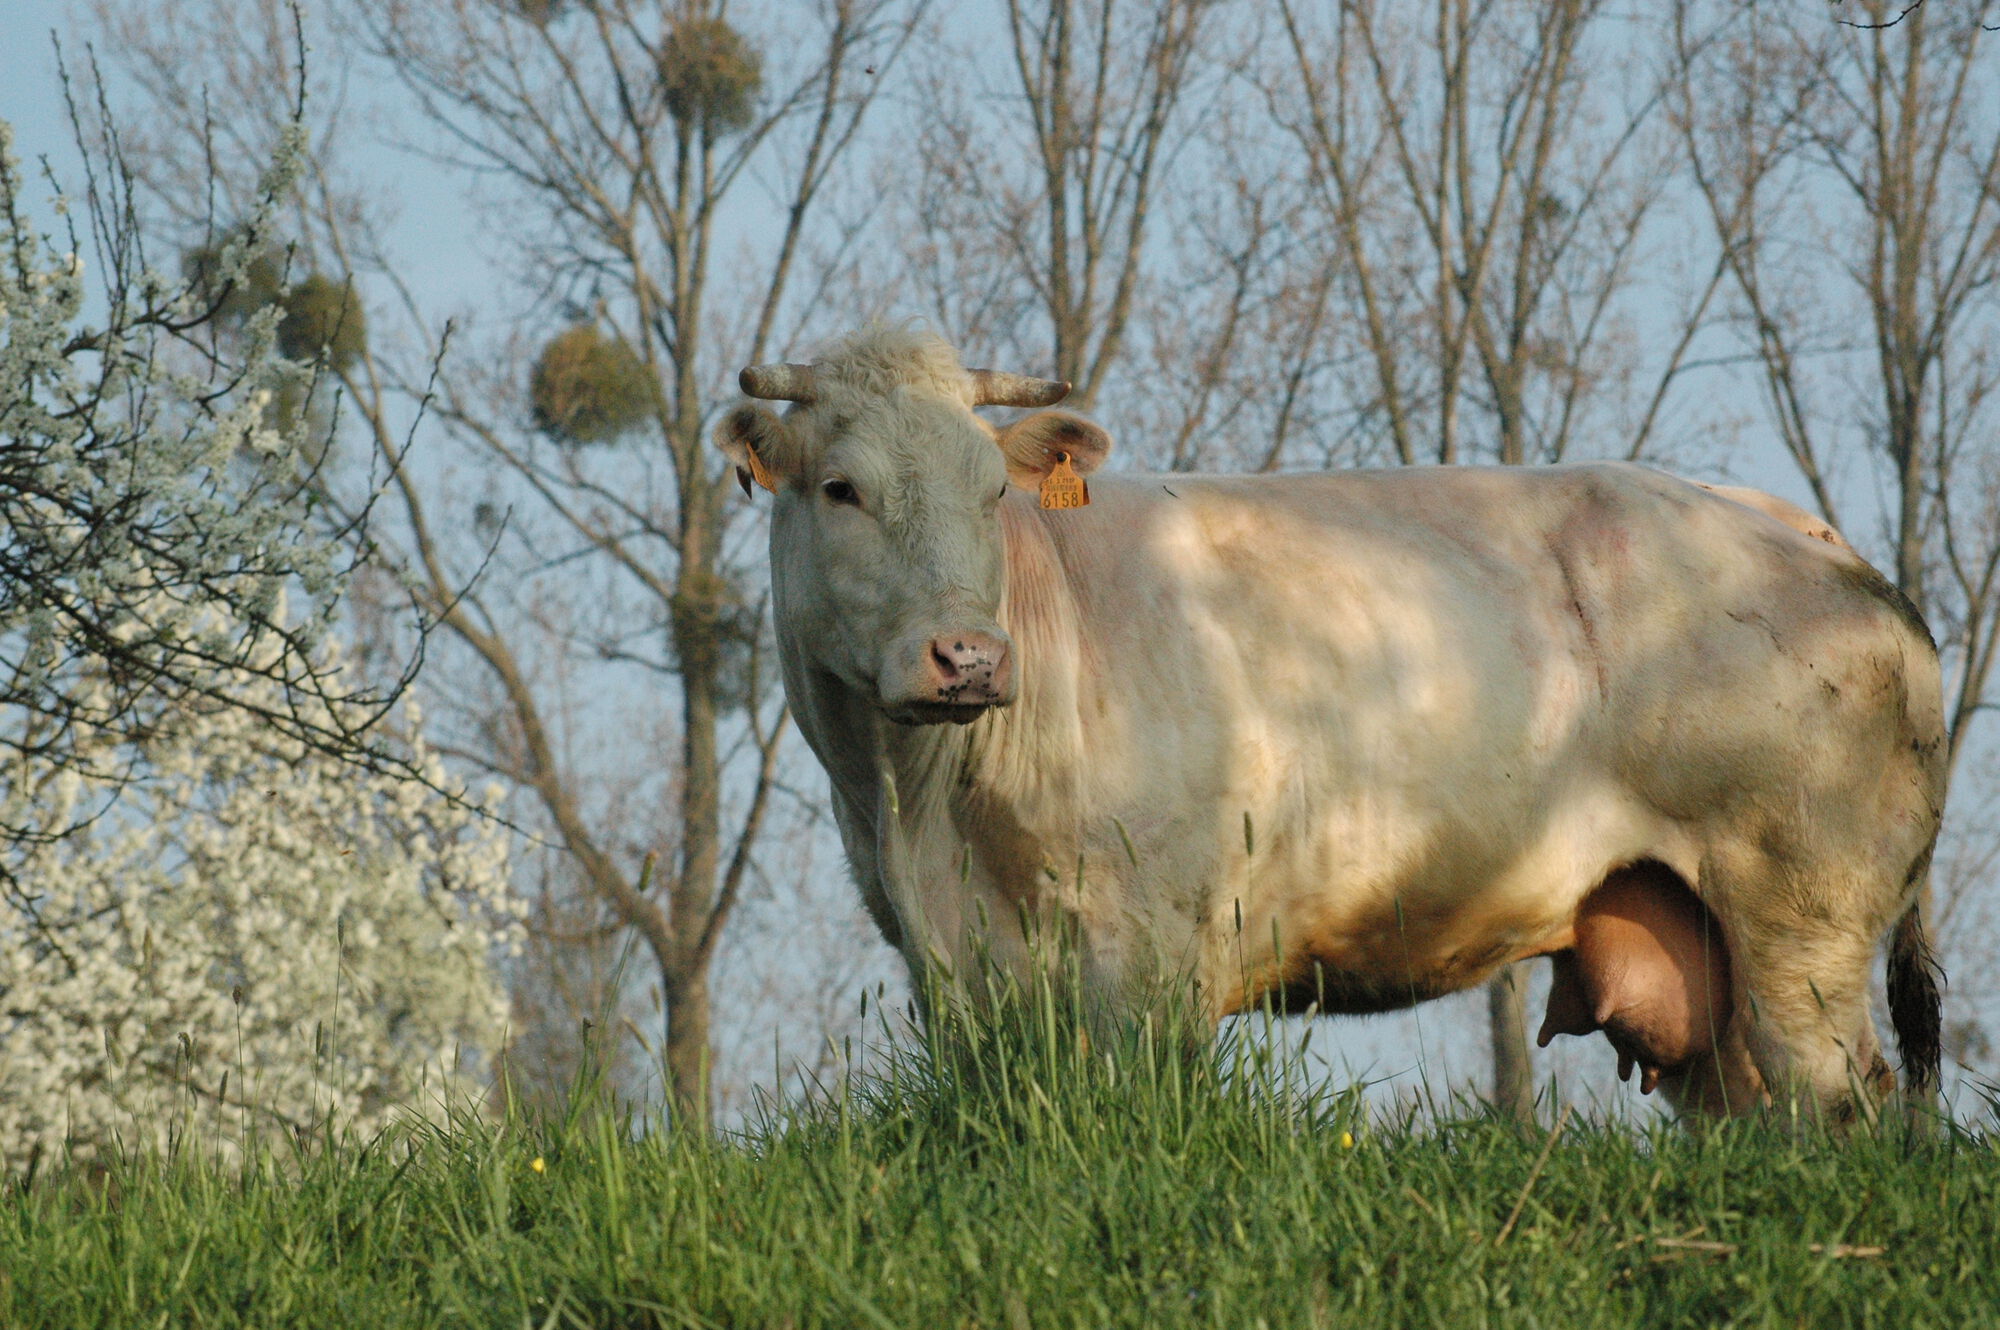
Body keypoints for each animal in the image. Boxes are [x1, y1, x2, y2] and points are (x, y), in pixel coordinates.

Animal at [716, 326, 1936, 1112]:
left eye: (990, 489)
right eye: (840, 487)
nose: (969, 656)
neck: (920, 810)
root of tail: (1820, 541)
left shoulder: (1151, 953)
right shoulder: (953, 973)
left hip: (1801, 919)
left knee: (1843, 1102)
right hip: (1702, 968)